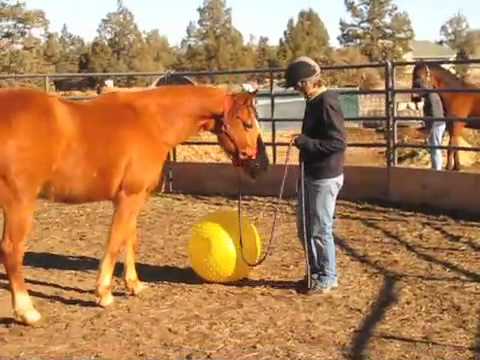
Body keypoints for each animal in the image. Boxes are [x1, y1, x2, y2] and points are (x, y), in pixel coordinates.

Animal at [0, 85, 270, 326]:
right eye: (248, 124)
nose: (262, 165)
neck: (151, 123)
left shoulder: (133, 198)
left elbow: (129, 240)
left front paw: (134, 285)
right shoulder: (129, 197)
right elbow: (115, 243)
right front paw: (104, 294)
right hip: (20, 203)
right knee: (11, 251)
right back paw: (27, 312)